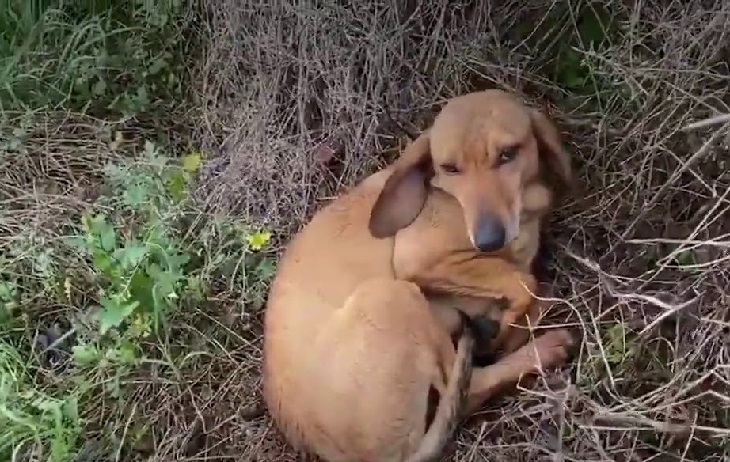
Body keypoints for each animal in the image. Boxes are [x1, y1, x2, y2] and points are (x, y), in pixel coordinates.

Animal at [262, 90, 576, 462]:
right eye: (449, 168)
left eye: (508, 153)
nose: (488, 240)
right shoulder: (418, 260)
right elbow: (527, 284)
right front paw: (506, 329)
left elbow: (535, 292)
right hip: (392, 295)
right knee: (470, 388)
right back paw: (545, 349)